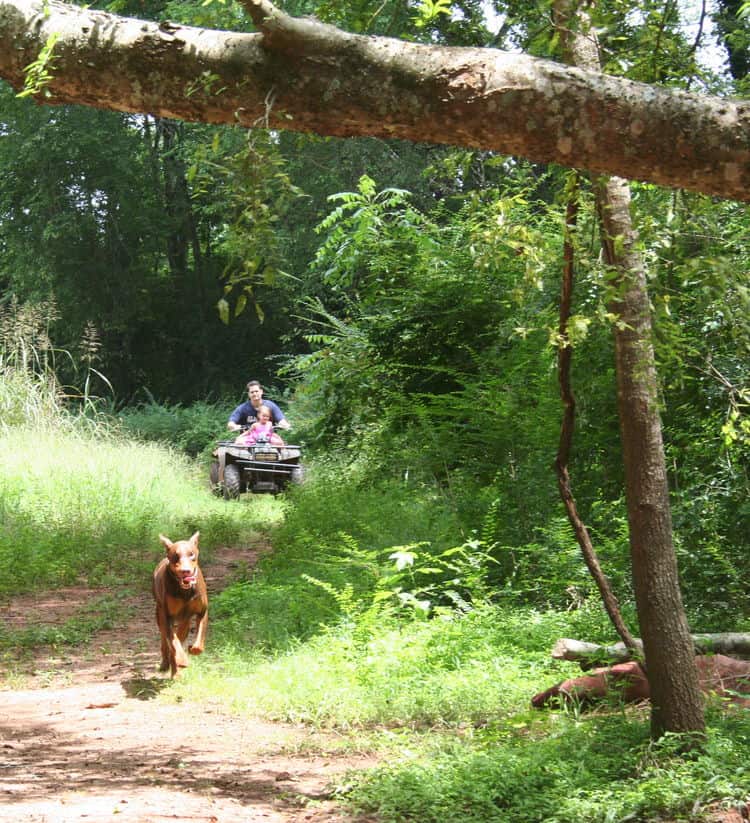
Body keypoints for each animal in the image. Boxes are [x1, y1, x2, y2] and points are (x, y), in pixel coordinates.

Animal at [152, 536, 209, 676]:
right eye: (175, 556)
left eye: (191, 554)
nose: (185, 571)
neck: (185, 592)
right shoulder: (167, 617)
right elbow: (174, 642)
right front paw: (182, 660)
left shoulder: (202, 612)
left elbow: (199, 642)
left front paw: (192, 648)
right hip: (159, 614)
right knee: (166, 642)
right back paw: (170, 667)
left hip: (185, 620)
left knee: (180, 634)